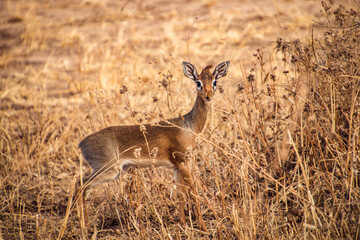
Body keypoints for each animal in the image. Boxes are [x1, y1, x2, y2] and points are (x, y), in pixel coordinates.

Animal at [76, 61, 231, 232]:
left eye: (214, 81)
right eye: (198, 83)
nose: (208, 96)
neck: (188, 127)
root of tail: (82, 143)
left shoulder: (176, 168)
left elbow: (181, 194)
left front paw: (183, 224)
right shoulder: (183, 163)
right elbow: (193, 191)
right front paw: (203, 227)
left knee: (81, 186)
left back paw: (86, 226)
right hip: (109, 170)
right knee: (80, 185)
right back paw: (83, 227)